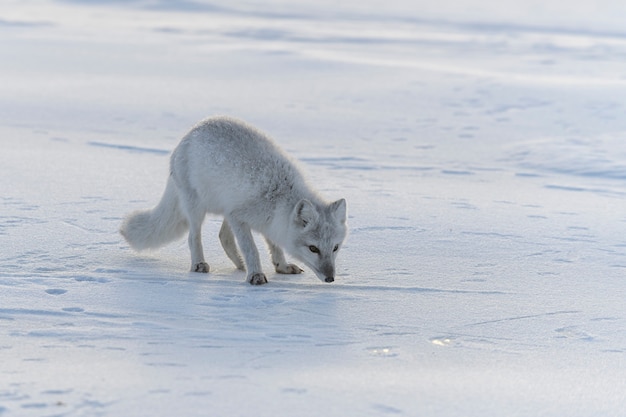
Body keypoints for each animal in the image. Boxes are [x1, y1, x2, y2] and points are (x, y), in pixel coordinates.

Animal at [118, 117, 346, 286]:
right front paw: (256, 275)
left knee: (223, 237)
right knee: (194, 237)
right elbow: (252, 248)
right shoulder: (240, 218)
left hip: (226, 208)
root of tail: (186, 137)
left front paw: (280, 267)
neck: (280, 196)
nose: (330, 278)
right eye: (313, 248)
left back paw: (240, 265)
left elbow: (274, 246)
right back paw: (200, 264)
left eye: (335, 248)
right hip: (197, 208)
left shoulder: (263, 222)